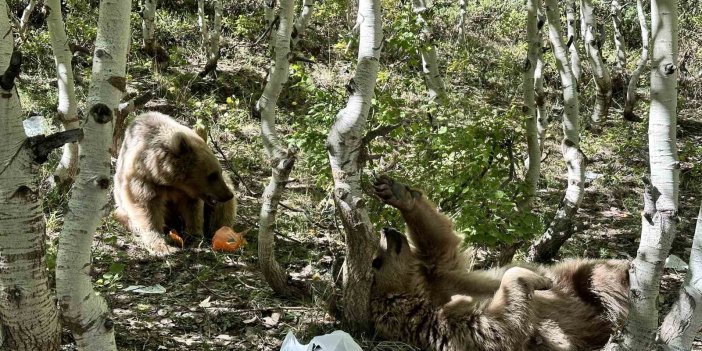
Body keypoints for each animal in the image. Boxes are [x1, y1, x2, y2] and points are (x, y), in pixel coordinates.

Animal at [114, 112, 238, 256]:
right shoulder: (143, 180)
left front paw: (195, 237)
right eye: (212, 175)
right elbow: (146, 208)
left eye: (219, 171)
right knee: (121, 215)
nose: (228, 195)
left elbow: (193, 210)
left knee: (223, 211)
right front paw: (162, 246)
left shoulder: (188, 193)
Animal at [372, 176, 628, 351]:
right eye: (376, 261)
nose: (386, 230)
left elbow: (440, 241)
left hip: (574, 278)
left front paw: (396, 192)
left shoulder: (443, 272)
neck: (421, 290)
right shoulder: (439, 324)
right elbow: (497, 326)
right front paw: (533, 278)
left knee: (598, 276)